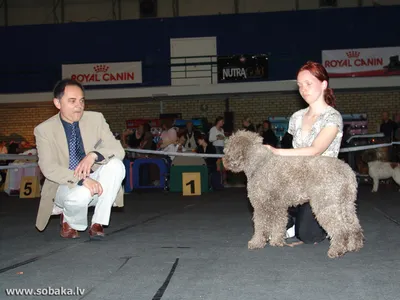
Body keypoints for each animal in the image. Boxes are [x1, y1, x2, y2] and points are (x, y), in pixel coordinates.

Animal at [223, 130, 364, 258]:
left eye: (228, 148)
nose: (223, 160)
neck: (259, 164)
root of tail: (347, 171)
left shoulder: (261, 205)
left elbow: (260, 225)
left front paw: (256, 242)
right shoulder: (278, 206)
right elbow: (279, 224)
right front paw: (276, 241)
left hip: (326, 203)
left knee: (340, 229)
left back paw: (336, 250)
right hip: (347, 203)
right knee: (354, 226)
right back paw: (354, 246)